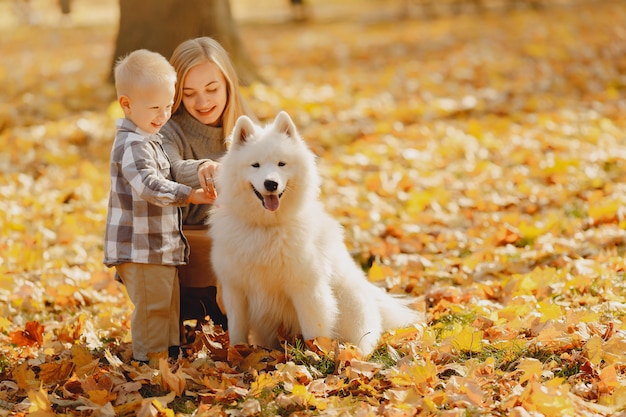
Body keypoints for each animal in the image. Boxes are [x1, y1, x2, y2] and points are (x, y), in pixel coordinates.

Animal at [208, 111, 420, 354]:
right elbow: (237, 330)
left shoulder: (307, 287)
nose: (271, 184)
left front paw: (315, 356)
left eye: (281, 164)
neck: (266, 227)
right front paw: (236, 353)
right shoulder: (235, 289)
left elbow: (313, 329)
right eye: (255, 165)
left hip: (350, 301)